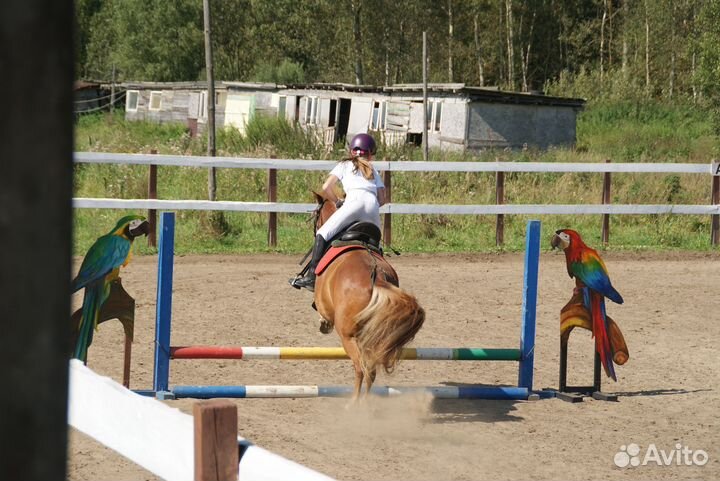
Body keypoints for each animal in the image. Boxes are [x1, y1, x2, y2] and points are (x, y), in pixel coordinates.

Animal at [308, 190, 425, 401]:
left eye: (316, 214)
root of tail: (377, 277)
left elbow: (323, 313)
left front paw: (323, 324)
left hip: (348, 337)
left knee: (361, 368)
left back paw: (354, 402)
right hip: (373, 336)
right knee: (371, 369)